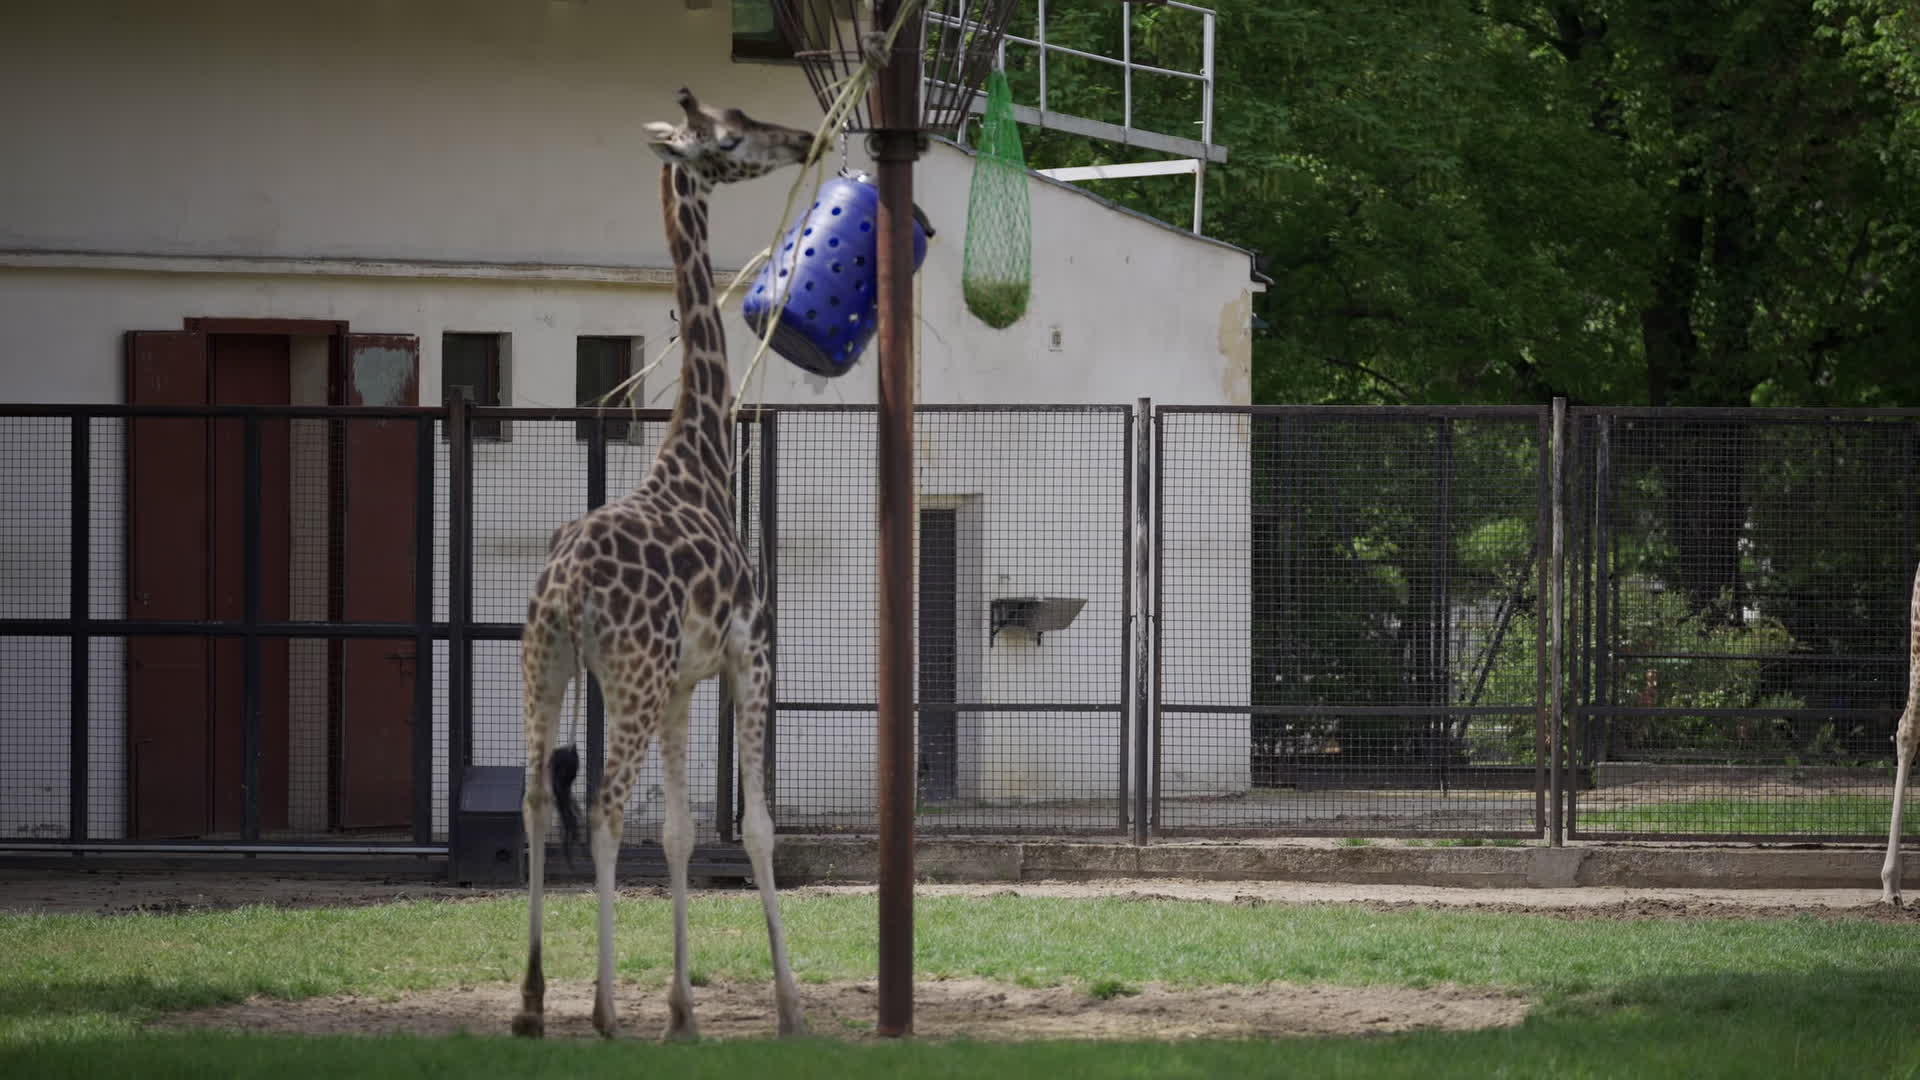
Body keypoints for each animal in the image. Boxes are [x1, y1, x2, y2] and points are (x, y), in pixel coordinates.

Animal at [512, 88, 813, 1040]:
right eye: (734, 131)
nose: (801, 138)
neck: (702, 454)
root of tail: (568, 588)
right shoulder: (750, 654)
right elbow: (753, 829)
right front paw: (790, 1006)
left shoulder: (685, 680)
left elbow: (683, 832)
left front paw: (683, 1011)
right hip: (628, 678)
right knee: (605, 808)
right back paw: (603, 1009)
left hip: (547, 666)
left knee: (537, 799)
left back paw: (532, 1002)